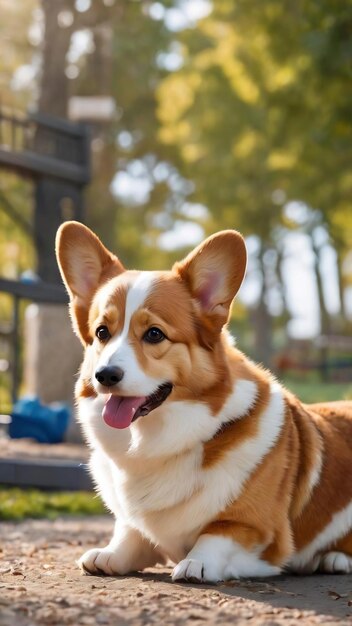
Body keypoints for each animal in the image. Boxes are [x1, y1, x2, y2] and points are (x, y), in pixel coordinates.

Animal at [55, 221, 352, 580]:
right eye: (101, 332)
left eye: (154, 334)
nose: (105, 375)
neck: (155, 443)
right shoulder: (135, 524)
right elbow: (130, 532)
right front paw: (110, 554)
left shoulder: (260, 532)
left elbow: (216, 534)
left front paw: (196, 563)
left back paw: (334, 559)